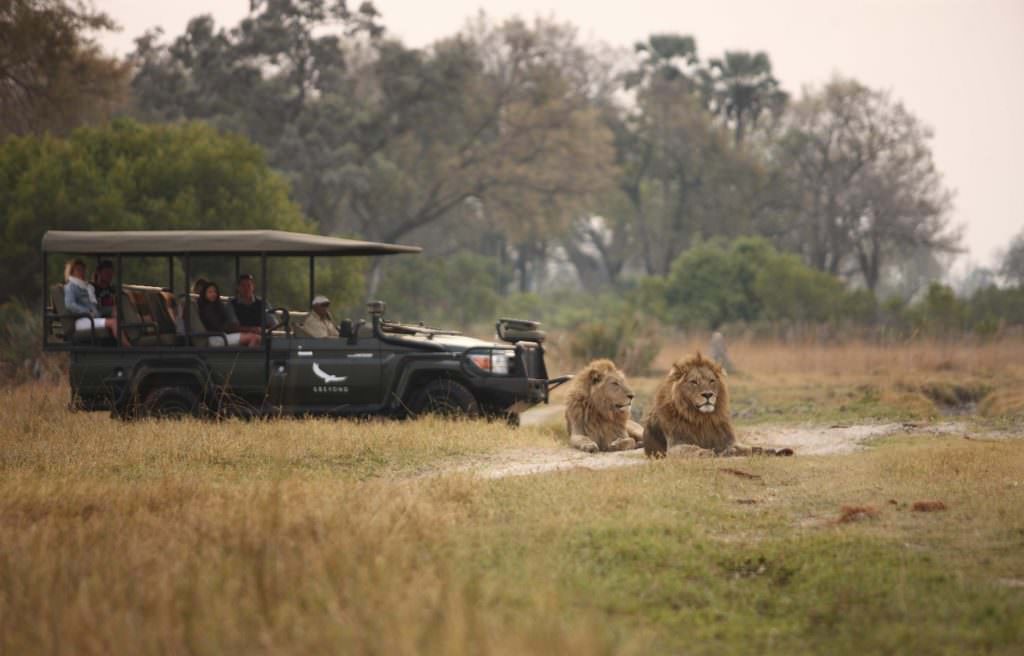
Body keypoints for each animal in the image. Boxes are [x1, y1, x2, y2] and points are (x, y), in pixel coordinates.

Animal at [643, 352, 792, 458]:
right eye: (694, 382)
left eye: (711, 380)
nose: (708, 395)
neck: (702, 418)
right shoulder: (675, 445)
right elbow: (692, 449)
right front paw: (707, 452)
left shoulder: (728, 441)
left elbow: (748, 448)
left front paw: (773, 450)